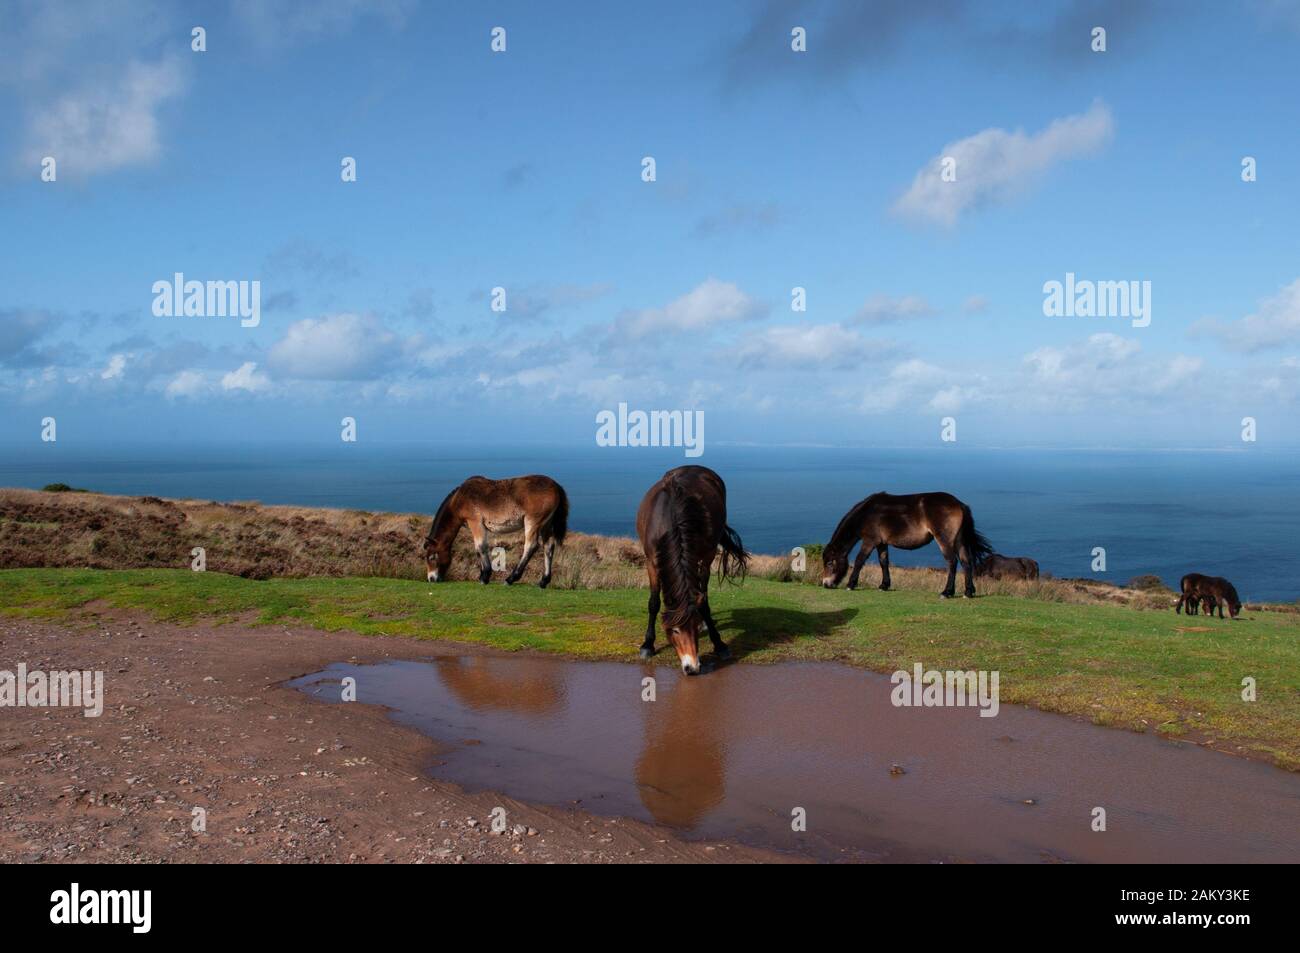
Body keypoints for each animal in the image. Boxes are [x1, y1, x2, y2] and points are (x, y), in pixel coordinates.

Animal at [423, 475, 566, 587]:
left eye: (432, 557)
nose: (431, 578)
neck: (460, 499)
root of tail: (555, 486)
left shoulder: (475, 522)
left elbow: (480, 547)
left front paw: (485, 576)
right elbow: (480, 548)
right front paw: (483, 575)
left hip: (533, 522)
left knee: (531, 546)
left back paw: (510, 579)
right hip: (546, 524)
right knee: (548, 547)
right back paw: (543, 581)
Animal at [634, 465, 748, 670]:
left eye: (693, 627)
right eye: (674, 631)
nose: (692, 667)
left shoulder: (704, 558)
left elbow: (703, 602)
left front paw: (719, 643)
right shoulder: (651, 562)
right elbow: (654, 603)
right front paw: (648, 644)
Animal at [821, 491, 993, 595]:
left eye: (830, 563)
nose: (825, 584)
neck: (866, 514)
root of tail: (959, 504)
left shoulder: (870, 541)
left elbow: (859, 561)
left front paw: (851, 584)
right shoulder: (881, 543)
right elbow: (884, 562)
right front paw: (884, 585)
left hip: (944, 540)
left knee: (952, 562)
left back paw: (947, 592)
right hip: (959, 541)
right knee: (966, 562)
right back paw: (968, 592)